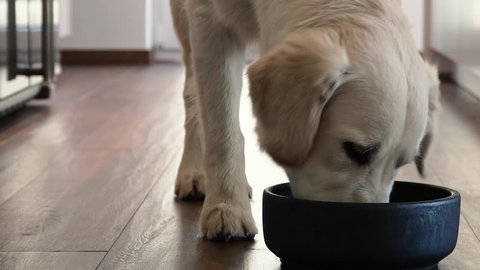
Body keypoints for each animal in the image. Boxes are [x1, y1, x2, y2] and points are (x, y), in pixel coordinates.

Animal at [169, 0, 438, 240]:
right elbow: (222, 131)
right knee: (192, 95)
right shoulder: (208, 19)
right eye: (355, 151)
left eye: (401, 163)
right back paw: (194, 173)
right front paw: (227, 206)